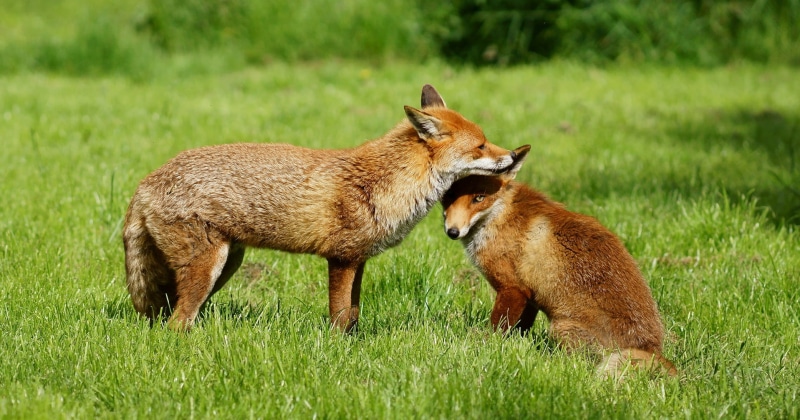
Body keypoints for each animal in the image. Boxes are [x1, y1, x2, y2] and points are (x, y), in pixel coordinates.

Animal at [123, 84, 522, 332]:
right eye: (481, 146)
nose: (514, 156)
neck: (385, 182)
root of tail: (146, 182)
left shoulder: (358, 259)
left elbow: (354, 315)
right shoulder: (341, 258)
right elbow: (339, 316)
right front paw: (335, 350)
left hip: (227, 264)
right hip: (208, 266)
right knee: (177, 323)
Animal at [441, 145, 677, 377]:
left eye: (479, 198)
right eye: (449, 196)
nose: (452, 231)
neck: (499, 214)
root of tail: (651, 349)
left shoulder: (512, 288)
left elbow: (497, 329)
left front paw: (485, 346)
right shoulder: (530, 296)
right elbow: (520, 329)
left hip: (559, 328)